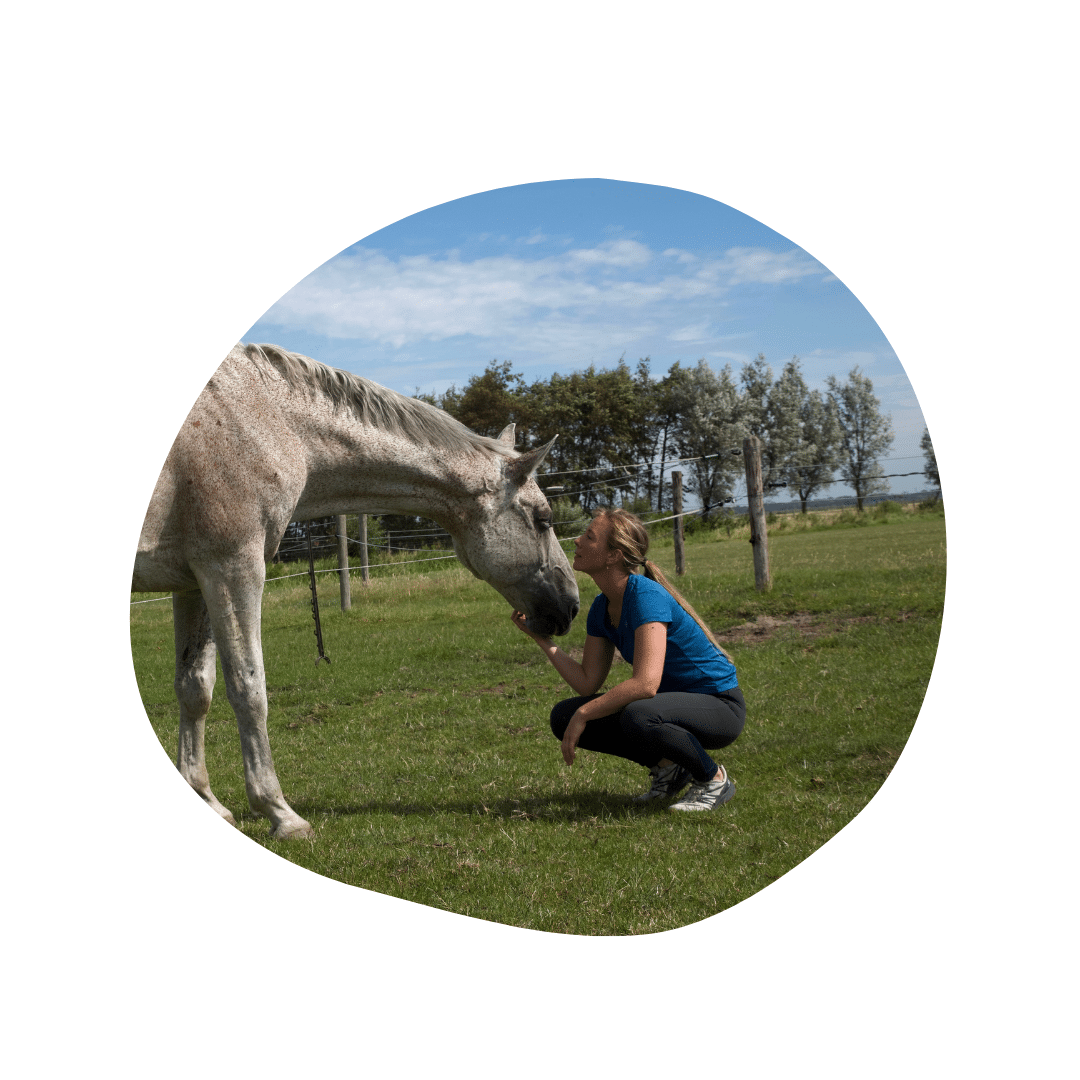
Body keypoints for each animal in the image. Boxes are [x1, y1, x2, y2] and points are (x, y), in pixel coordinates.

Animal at [133, 342, 580, 839]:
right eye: (544, 519)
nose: (571, 605)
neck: (267, 417)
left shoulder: (194, 582)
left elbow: (195, 688)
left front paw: (206, 801)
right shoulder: (233, 568)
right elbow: (249, 690)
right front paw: (280, 813)